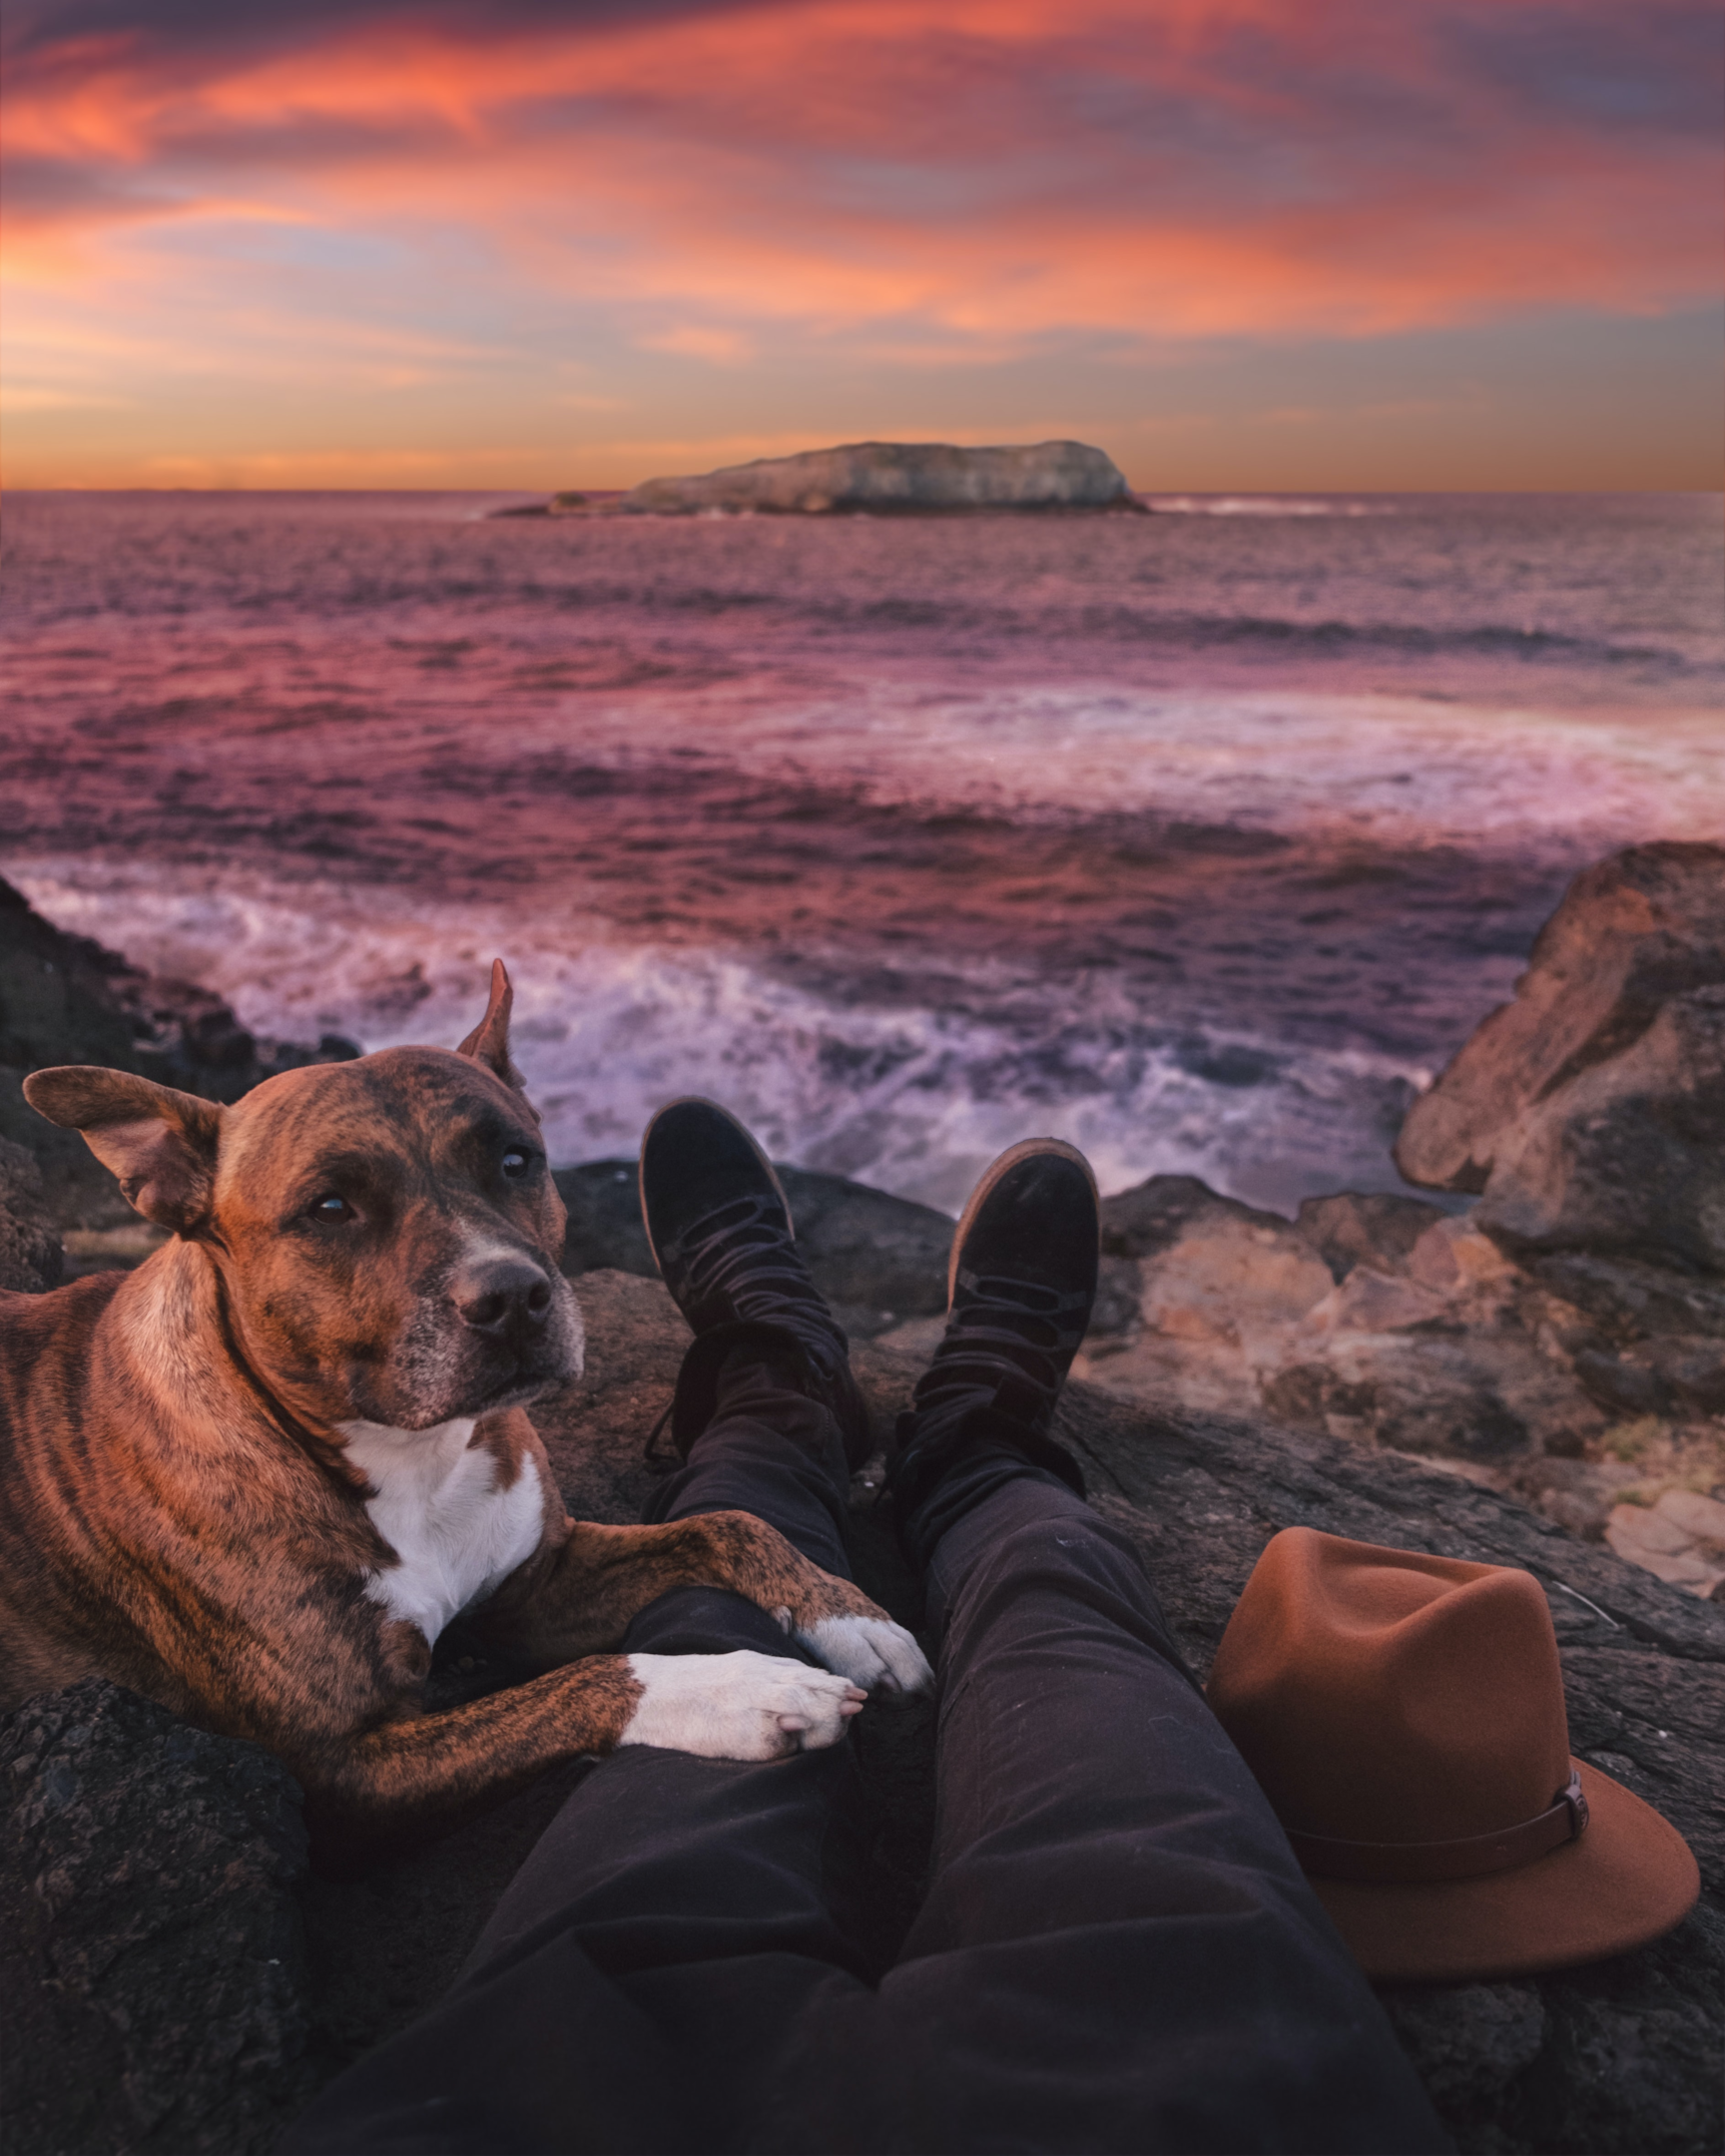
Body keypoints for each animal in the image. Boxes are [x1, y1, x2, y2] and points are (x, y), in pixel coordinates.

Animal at [0, 961, 931, 1854]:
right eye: (328, 1208)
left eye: (516, 1161)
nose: (513, 1297)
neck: (408, 1459)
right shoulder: (342, 1770)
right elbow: (585, 1681)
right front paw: (737, 1688)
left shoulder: (538, 1582)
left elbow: (728, 1523)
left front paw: (849, 1615)